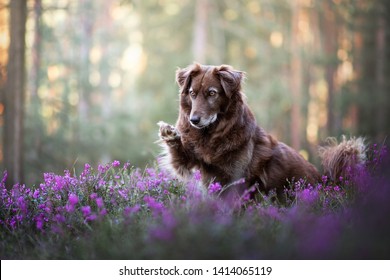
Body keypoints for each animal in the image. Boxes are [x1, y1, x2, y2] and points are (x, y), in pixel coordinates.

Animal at [157, 63, 364, 199]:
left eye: (212, 93)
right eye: (192, 93)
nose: (194, 120)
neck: (212, 133)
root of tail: (327, 183)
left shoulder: (236, 178)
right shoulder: (189, 161)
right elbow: (178, 154)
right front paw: (169, 133)